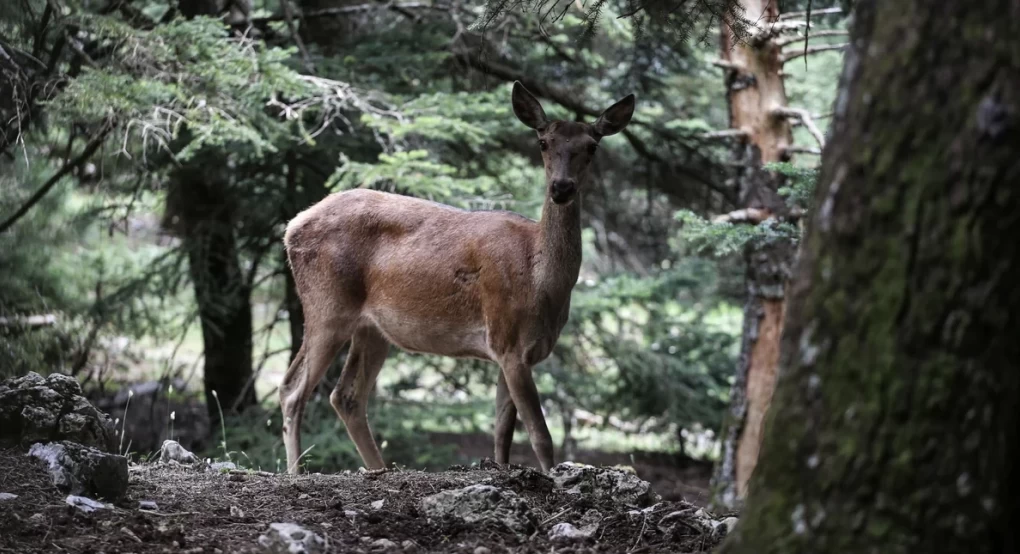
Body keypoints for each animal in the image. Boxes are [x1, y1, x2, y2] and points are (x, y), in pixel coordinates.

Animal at [277, 81, 628, 473]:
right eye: (543, 142)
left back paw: (379, 468)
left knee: (346, 396)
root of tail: (291, 228)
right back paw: (295, 472)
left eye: (592, 145)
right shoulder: (508, 340)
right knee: (292, 390)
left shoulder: (510, 351)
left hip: (372, 329)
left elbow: (501, 434)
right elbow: (540, 436)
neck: (542, 281)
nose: (562, 188)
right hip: (327, 306)